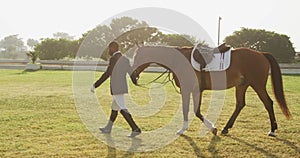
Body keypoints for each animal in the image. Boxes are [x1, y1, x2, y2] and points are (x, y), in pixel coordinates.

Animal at [132, 45, 290, 137]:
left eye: (137, 57)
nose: (132, 76)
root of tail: (261, 54)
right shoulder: (192, 90)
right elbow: (192, 110)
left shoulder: (190, 89)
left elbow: (193, 111)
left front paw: (208, 128)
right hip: (242, 85)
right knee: (240, 104)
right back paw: (226, 128)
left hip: (257, 85)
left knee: (268, 103)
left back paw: (272, 130)